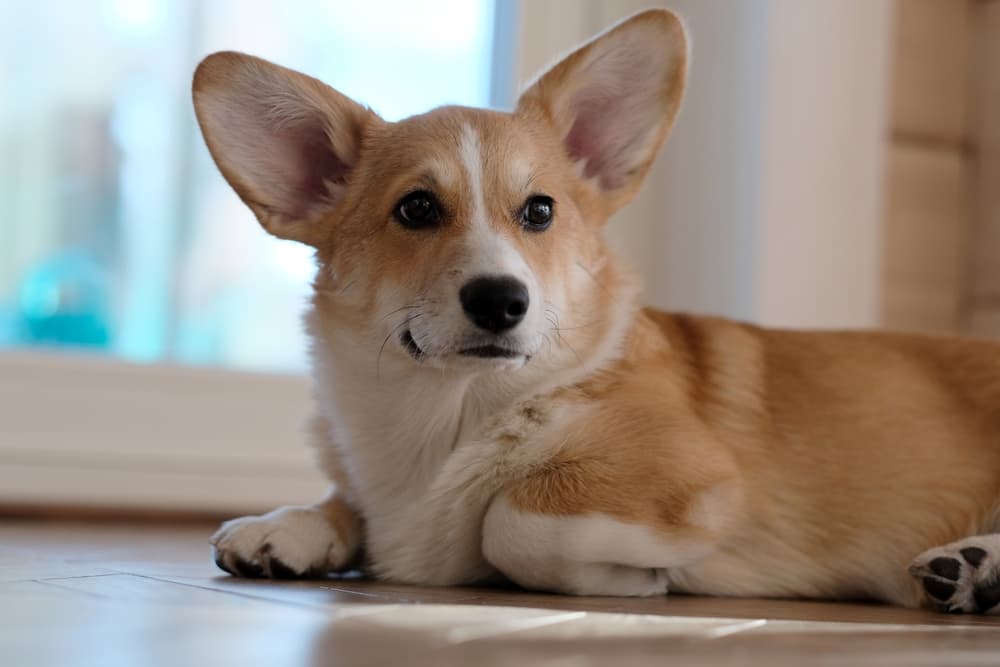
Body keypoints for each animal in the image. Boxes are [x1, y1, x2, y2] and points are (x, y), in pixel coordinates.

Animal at [197, 10, 1000, 616]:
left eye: (539, 210)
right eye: (416, 208)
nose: (501, 299)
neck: (450, 414)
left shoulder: (694, 475)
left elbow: (508, 517)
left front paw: (633, 579)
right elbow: (345, 501)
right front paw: (284, 527)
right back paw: (970, 570)